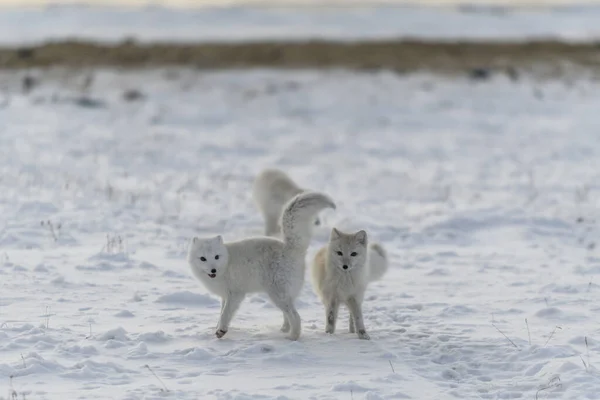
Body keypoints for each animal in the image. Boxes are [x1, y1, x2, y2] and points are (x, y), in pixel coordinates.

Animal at [188, 191, 336, 340]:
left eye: (216, 257)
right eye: (203, 259)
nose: (213, 270)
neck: (227, 262)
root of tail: (290, 248)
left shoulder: (235, 294)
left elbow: (225, 313)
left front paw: (221, 330)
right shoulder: (225, 296)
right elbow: (222, 313)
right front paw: (219, 327)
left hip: (277, 294)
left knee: (296, 316)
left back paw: (292, 336)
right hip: (284, 295)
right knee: (288, 315)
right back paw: (284, 330)